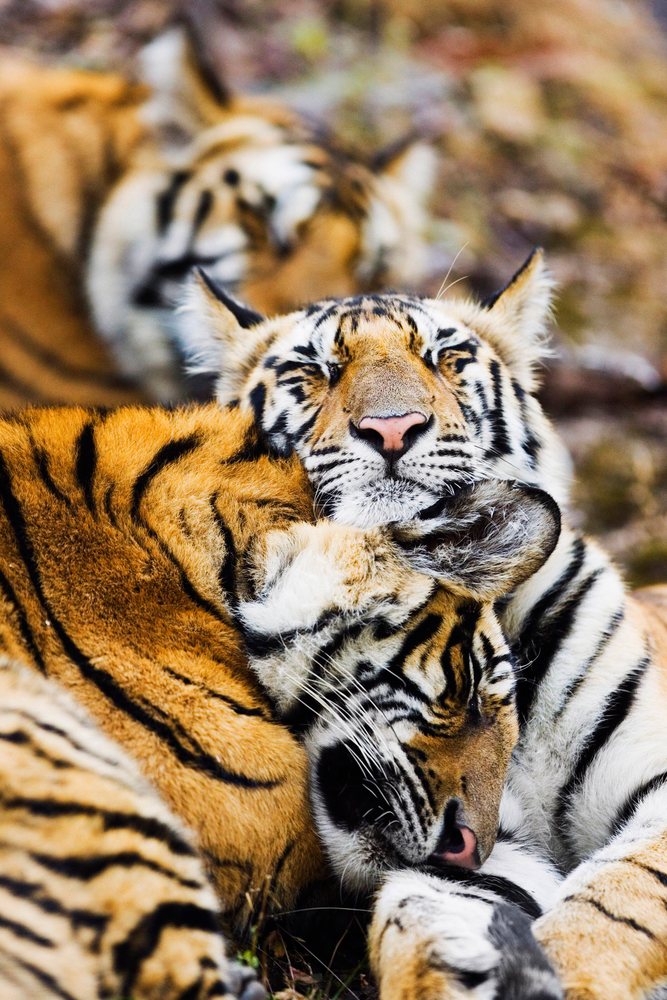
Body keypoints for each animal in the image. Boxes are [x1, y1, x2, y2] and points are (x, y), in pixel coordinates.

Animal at [181, 253, 667, 999]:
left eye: (446, 359)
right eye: (313, 373)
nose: (392, 428)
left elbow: (611, 906)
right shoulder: (474, 834)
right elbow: (420, 910)